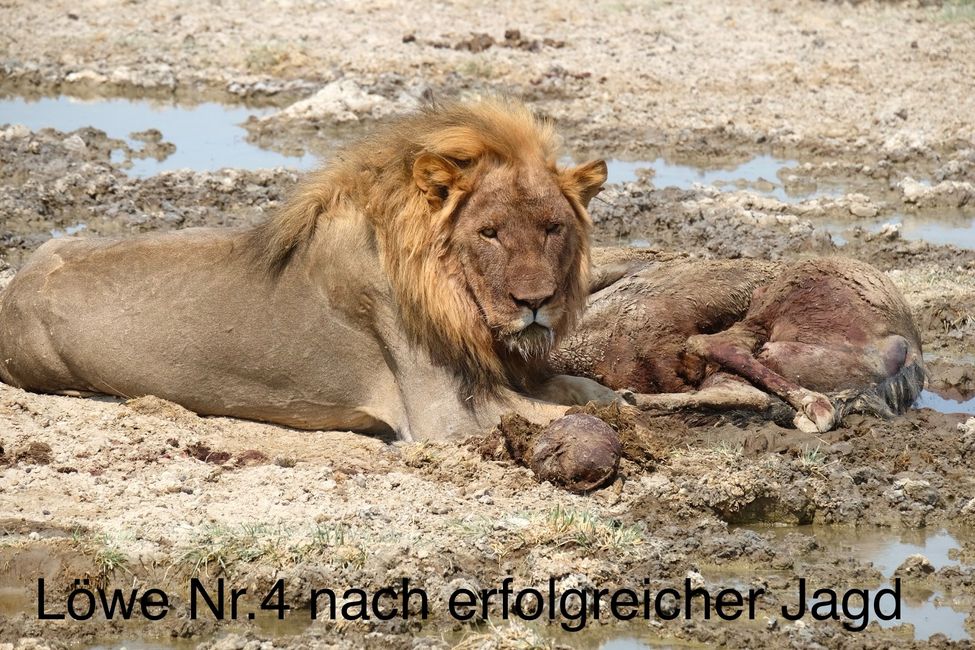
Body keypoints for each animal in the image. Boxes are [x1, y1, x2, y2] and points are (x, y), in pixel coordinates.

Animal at [0, 97, 616, 440]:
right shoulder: (445, 418)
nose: (535, 303)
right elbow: (560, 411)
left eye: (553, 228)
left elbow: (585, 390)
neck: (454, 296)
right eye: (488, 232)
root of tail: (16, 282)